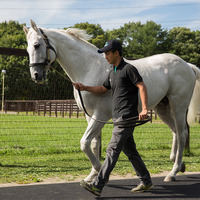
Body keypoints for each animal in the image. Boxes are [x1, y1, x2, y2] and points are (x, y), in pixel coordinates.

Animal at [23, 20, 200, 183]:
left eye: (37, 45)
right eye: (27, 49)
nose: (36, 76)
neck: (90, 68)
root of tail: (187, 65)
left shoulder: (100, 115)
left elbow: (84, 142)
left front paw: (99, 170)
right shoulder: (90, 116)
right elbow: (94, 144)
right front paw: (91, 176)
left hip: (178, 106)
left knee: (182, 134)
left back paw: (173, 172)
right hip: (161, 108)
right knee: (175, 131)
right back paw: (179, 164)